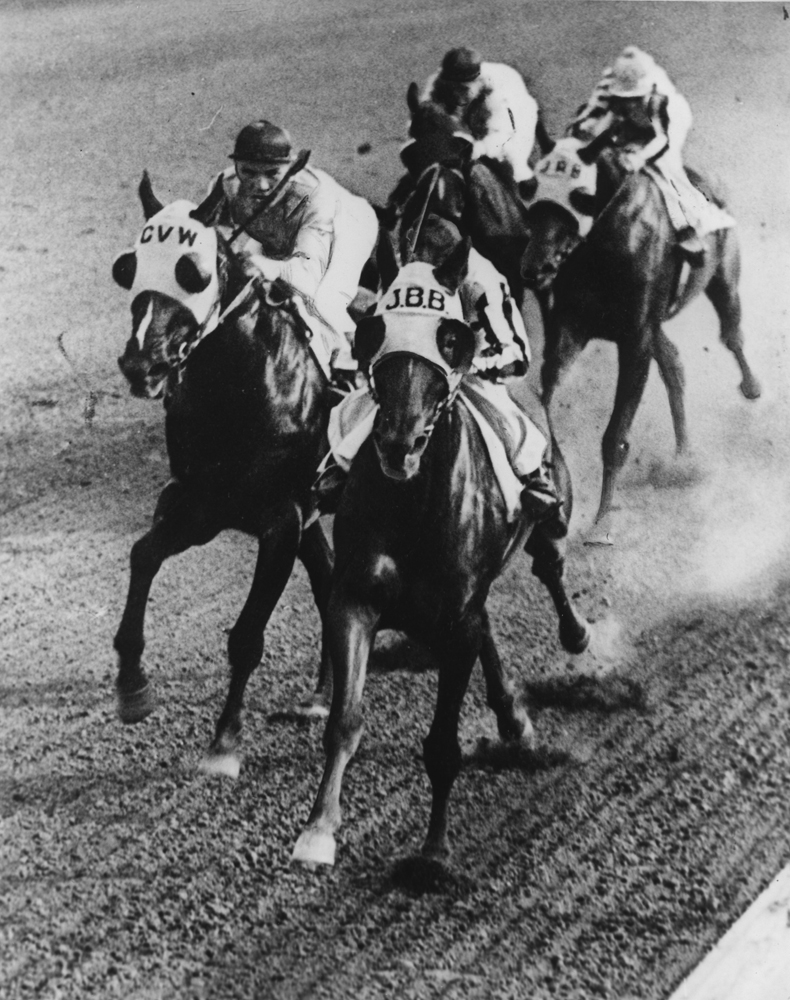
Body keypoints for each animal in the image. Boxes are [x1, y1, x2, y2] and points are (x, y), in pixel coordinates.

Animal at [111, 176, 334, 776]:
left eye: (192, 271)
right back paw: (322, 695)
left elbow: (248, 636)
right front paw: (132, 686)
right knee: (331, 584)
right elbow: (143, 555)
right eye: (128, 268)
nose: (141, 365)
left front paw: (225, 739)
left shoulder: (282, 521)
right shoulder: (200, 504)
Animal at [290, 227, 588, 868]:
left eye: (450, 338)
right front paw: (319, 828)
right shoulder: (357, 600)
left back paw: (574, 634)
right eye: (374, 330)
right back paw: (513, 719)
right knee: (490, 625)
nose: (398, 441)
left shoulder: (455, 619)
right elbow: (345, 719)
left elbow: (443, 745)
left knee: (550, 564)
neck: (414, 506)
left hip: (552, 508)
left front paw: (432, 851)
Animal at [520, 142, 760, 540]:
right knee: (675, 365)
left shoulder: (635, 342)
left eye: (579, 194)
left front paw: (602, 520)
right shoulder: (573, 327)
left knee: (732, 334)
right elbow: (548, 391)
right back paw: (683, 455)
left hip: (723, 278)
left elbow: (615, 436)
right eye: (532, 187)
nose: (535, 267)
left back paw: (751, 386)